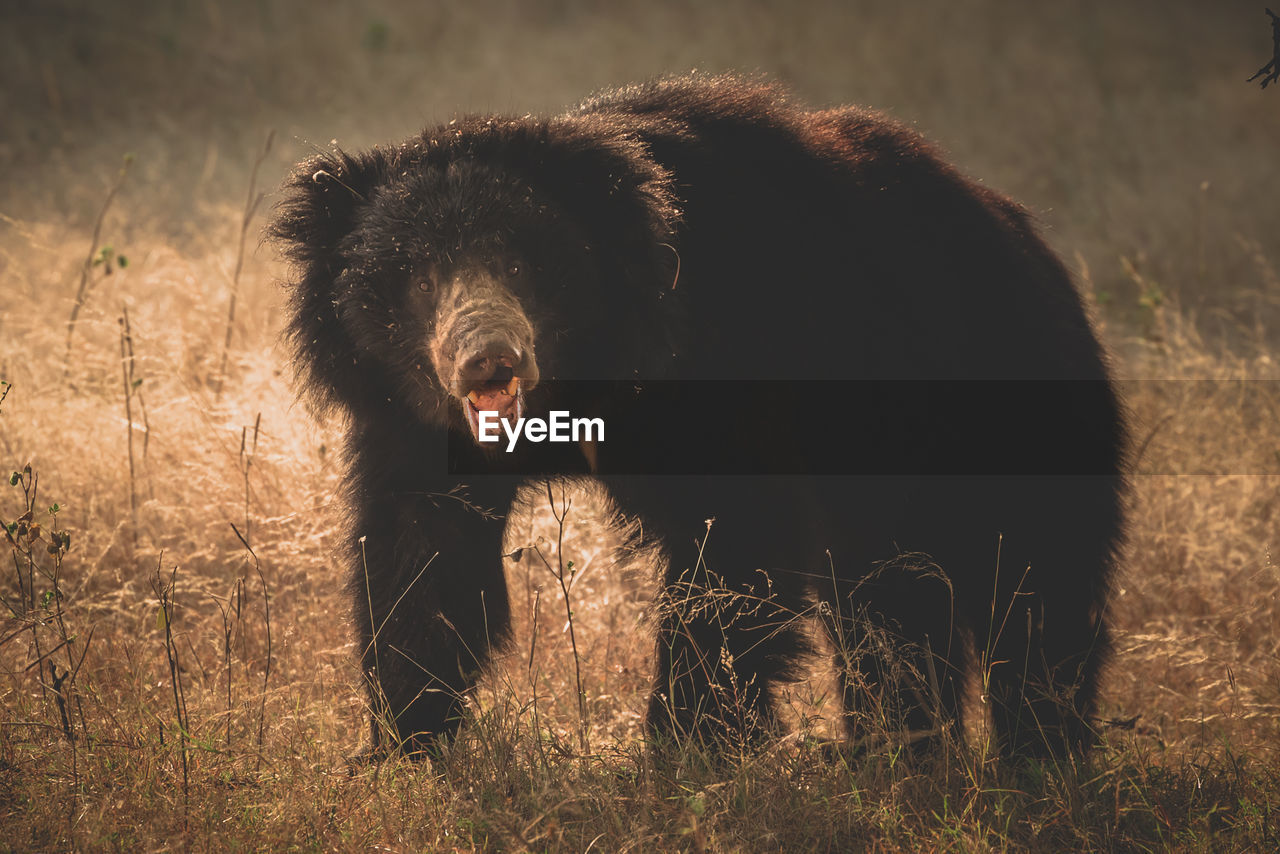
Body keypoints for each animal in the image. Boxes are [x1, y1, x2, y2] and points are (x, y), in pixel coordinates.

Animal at [270, 73, 1121, 763]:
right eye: (418, 278)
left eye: (520, 263)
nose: (487, 360)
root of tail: (1030, 241)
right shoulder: (413, 421)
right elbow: (422, 551)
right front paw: (404, 741)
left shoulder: (732, 373)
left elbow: (734, 545)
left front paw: (680, 748)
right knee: (900, 606)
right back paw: (908, 752)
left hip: (1011, 414)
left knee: (1031, 590)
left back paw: (1027, 758)